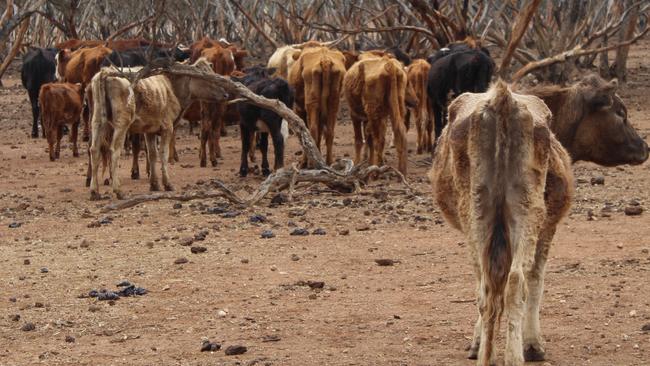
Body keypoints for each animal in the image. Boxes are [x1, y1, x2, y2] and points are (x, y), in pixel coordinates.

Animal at [430, 81, 572, 364]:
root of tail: (502, 99)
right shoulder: (548, 228)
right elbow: (536, 279)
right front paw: (533, 345)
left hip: (477, 211)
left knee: (493, 285)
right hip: (527, 211)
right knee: (513, 281)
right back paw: (512, 355)